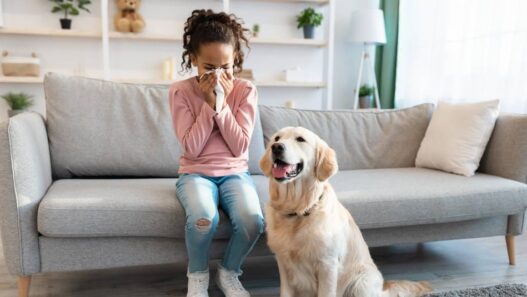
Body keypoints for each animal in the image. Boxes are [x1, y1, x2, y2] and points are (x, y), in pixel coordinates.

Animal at [260, 126, 434, 296]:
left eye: (300, 139)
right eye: (277, 138)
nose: (276, 147)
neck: (297, 210)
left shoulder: (327, 264)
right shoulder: (283, 263)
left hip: (360, 284)